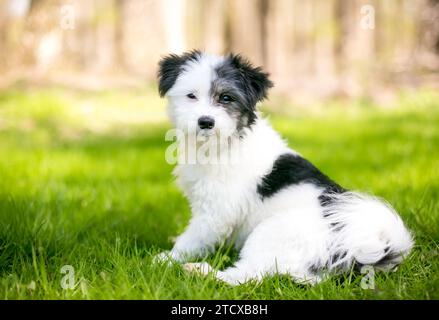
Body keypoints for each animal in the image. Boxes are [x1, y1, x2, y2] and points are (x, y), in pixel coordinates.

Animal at [156, 50, 416, 284]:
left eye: (226, 98)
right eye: (191, 96)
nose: (206, 122)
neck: (226, 142)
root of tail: (357, 243)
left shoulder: (216, 212)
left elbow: (194, 237)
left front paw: (168, 259)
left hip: (272, 231)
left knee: (247, 276)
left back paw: (202, 272)